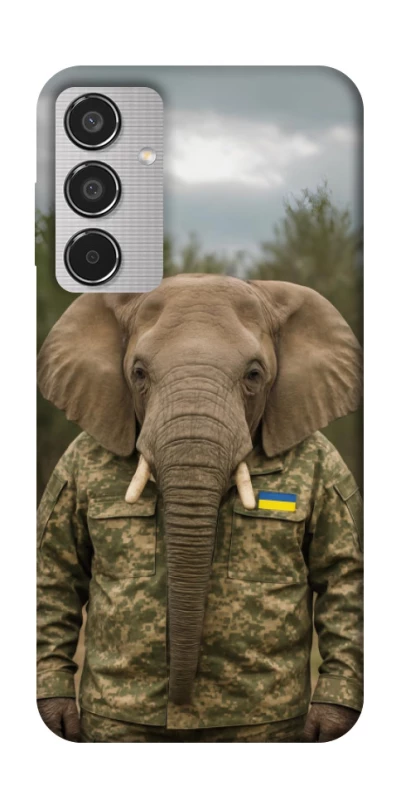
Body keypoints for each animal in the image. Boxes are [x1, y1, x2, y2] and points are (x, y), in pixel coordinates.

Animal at [37, 274, 362, 741]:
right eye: (138, 373)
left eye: (254, 374)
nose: (179, 700)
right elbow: (57, 568)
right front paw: (59, 715)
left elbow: (341, 571)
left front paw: (327, 723)